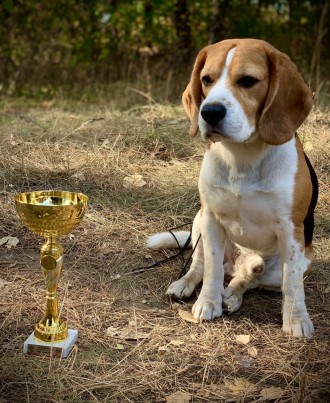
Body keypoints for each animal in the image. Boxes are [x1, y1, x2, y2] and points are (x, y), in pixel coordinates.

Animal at [148, 40, 318, 338]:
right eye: (206, 79)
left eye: (248, 81)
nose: (209, 112)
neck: (242, 156)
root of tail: (241, 261)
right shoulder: (211, 219)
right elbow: (212, 269)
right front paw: (207, 302)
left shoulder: (292, 232)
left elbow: (293, 284)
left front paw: (296, 320)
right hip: (198, 223)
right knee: (201, 265)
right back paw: (187, 284)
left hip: (298, 260)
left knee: (249, 279)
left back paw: (233, 295)